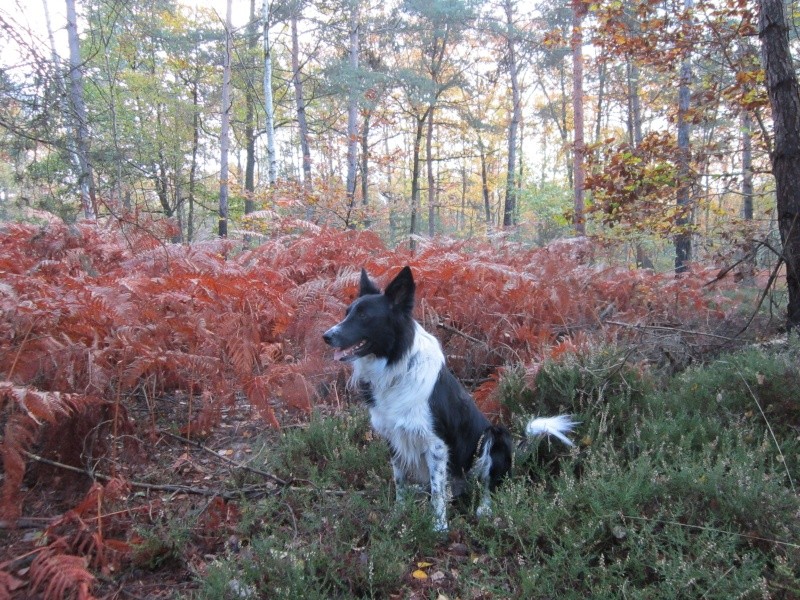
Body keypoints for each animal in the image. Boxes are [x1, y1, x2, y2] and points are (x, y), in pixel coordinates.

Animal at [320, 268, 576, 528]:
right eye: (347, 313)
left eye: (364, 316)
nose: (326, 336)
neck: (395, 366)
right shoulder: (393, 437)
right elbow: (400, 481)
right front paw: (398, 515)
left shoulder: (436, 444)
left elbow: (437, 491)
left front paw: (439, 527)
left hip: (496, 435)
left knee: (489, 485)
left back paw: (484, 509)